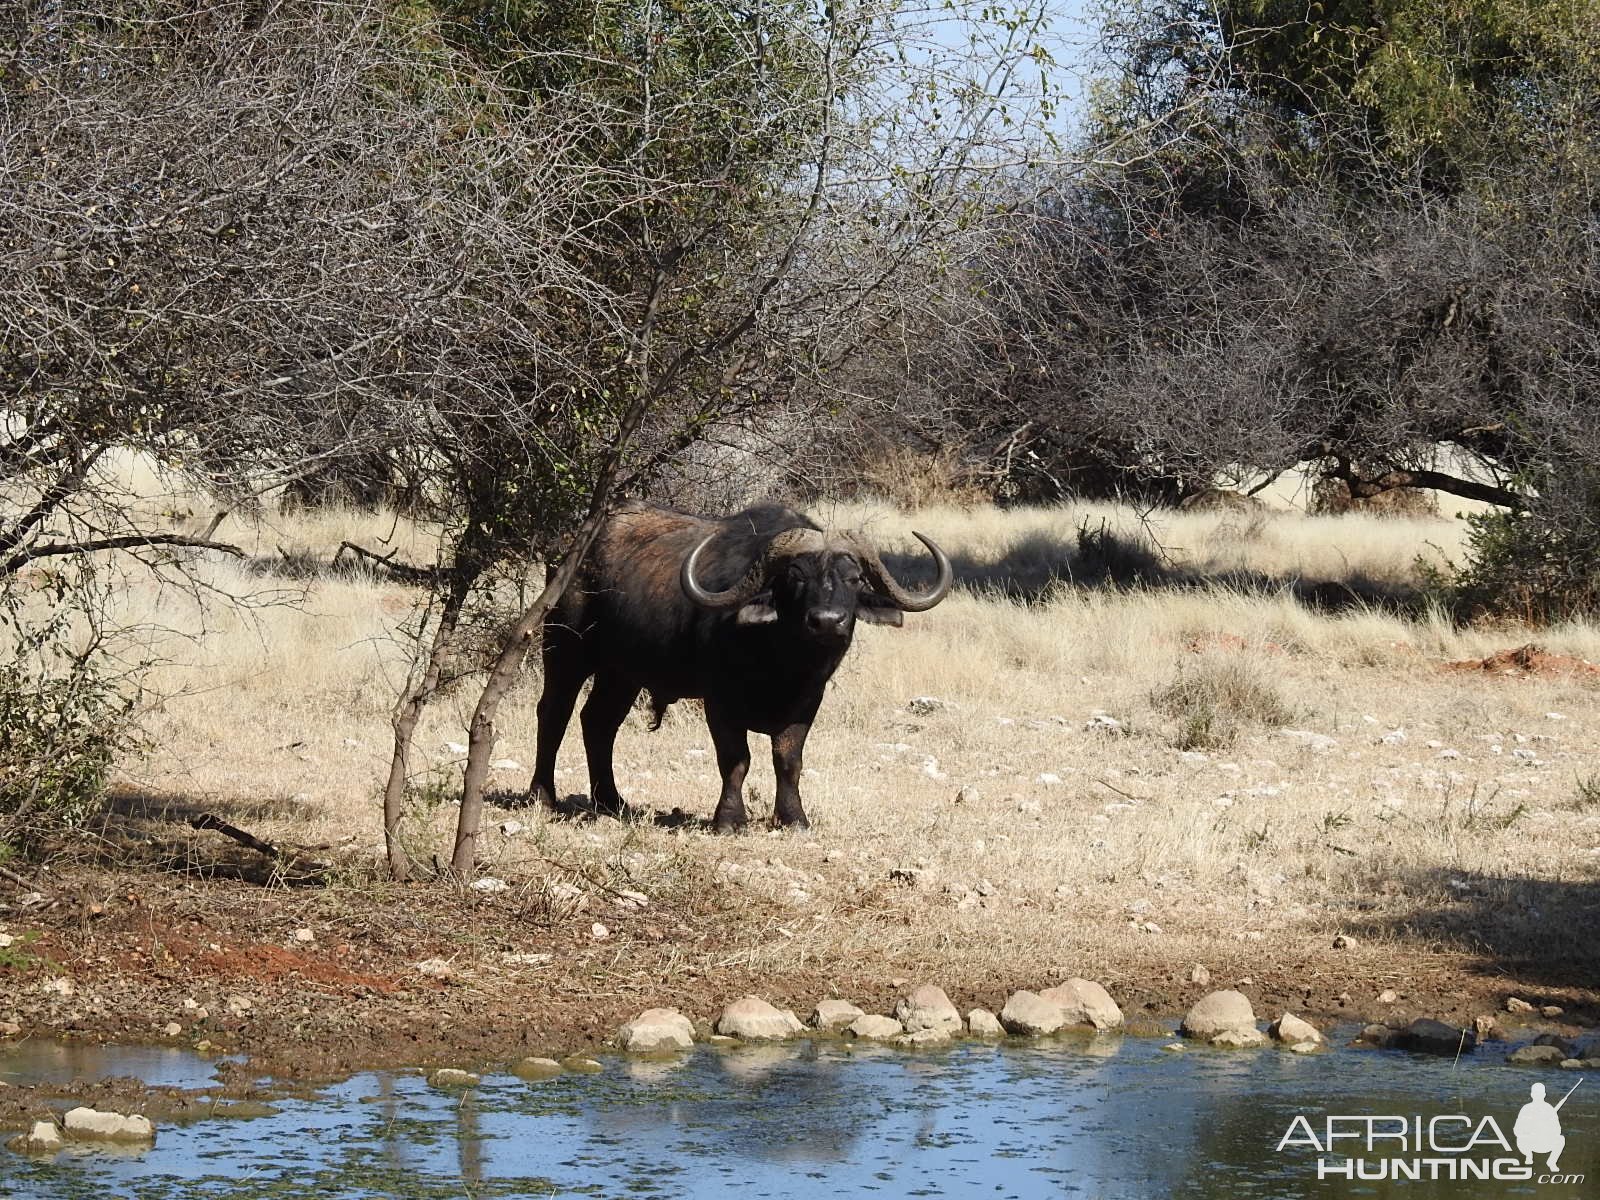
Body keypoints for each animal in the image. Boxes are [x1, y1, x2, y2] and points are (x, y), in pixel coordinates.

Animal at [524, 502, 947, 832]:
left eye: (855, 578)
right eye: (795, 577)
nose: (827, 621)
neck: (781, 662)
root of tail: (571, 554)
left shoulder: (808, 702)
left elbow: (788, 760)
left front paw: (793, 818)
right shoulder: (719, 701)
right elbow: (735, 759)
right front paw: (729, 819)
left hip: (621, 674)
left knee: (598, 722)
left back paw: (611, 801)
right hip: (565, 650)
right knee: (554, 714)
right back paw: (543, 796)